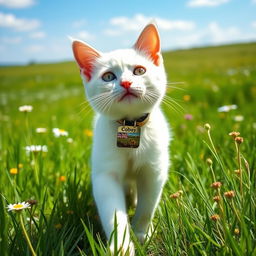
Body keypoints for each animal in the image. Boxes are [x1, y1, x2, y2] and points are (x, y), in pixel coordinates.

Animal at [71, 23, 170, 255]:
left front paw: (141, 233)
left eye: (140, 70)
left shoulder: (154, 170)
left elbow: (147, 206)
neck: (130, 124)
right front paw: (121, 246)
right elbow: (113, 213)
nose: (125, 82)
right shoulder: (106, 174)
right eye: (108, 77)